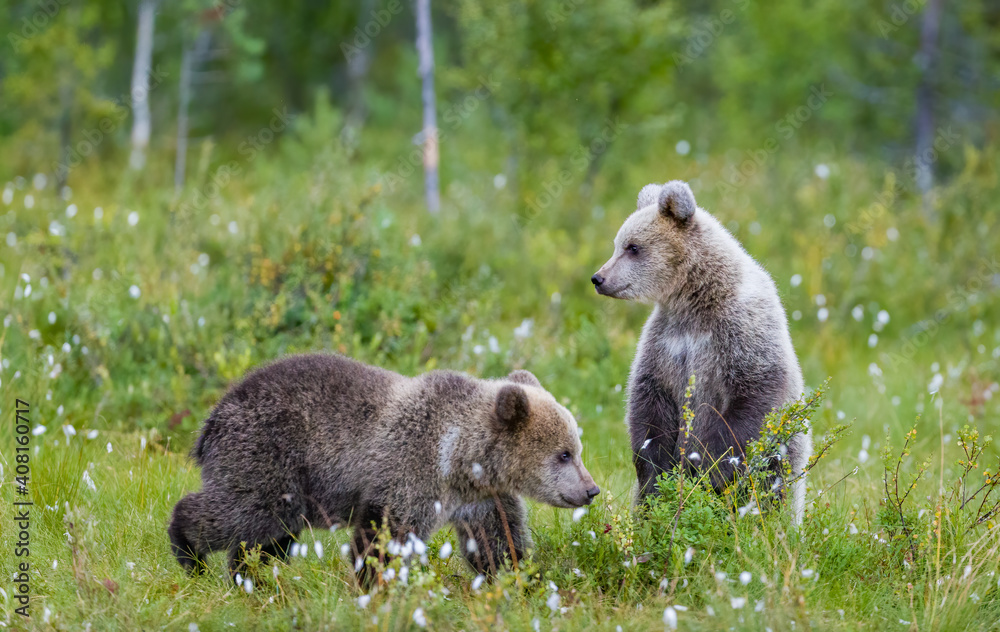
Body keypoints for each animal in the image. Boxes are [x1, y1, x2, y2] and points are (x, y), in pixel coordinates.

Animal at [168, 353, 599, 586]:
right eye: (564, 454)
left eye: (577, 450)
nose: (591, 489)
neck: (460, 459)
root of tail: (211, 420)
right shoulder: (409, 470)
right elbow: (384, 537)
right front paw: (375, 584)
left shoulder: (482, 499)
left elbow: (498, 542)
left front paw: (518, 580)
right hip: (268, 453)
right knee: (244, 512)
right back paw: (189, 553)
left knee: (267, 538)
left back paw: (250, 578)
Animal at [591, 180, 811, 524]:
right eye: (618, 244)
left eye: (633, 247)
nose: (599, 278)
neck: (694, 297)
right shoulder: (666, 342)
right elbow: (649, 403)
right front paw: (658, 475)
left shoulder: (739, 333)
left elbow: (751, 399)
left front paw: (706, 470)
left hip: (783, 453)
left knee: (770, 486)